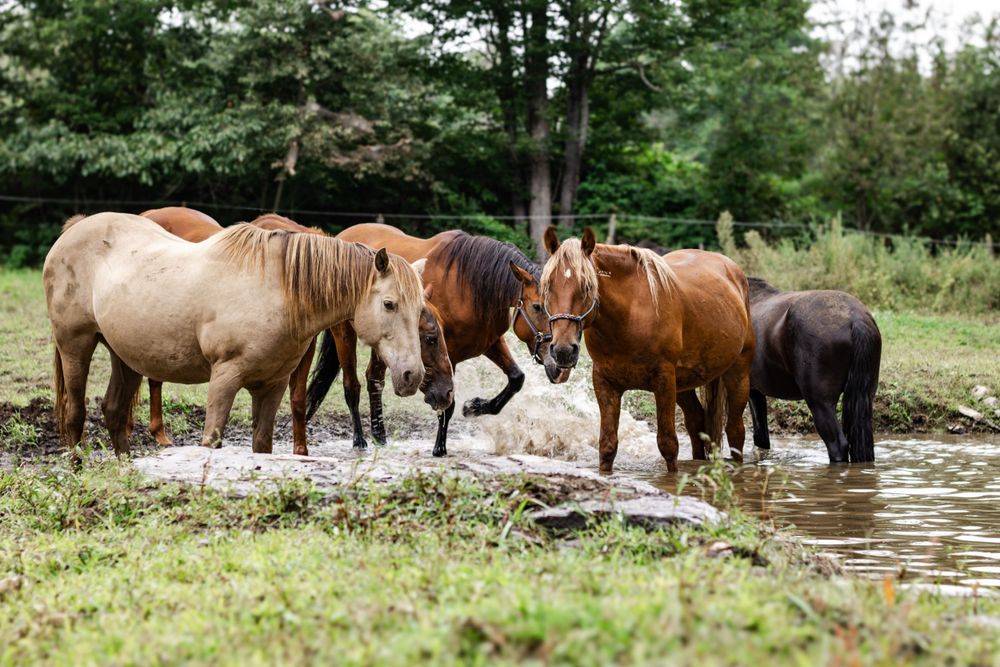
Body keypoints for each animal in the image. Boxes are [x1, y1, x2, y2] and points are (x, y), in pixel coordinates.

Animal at [44, 212, 425, 459]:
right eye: (389, 304)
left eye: (421, 308)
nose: (412, 375)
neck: (277, 289)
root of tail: (74, 230)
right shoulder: (224, 377)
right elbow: (211, 440)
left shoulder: (272, 386)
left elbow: (262, 445)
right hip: (75, 345)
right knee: (75, 412)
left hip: (126, 356)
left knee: (114, 411)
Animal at [134, 209, 453, 456]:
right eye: (430, 337)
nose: (415, 376)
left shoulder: (302, 349)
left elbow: (298, 400)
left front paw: (301, 451)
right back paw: (158, 434)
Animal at [305, 223, 555, 456]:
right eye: (537, 307)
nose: (557, 358)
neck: (467, 285)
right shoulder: (449, 353)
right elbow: (448, 400)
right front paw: (439, 448)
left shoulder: (490, 343)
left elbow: (516, 378)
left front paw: (474, 407)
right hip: (344, 334)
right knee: (352, 385)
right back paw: (359, 440)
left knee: (374, 379)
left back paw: (380, 436)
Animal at [540, 227, 755, 473]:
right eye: (547, 286)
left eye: (587, 286)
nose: (563, 350)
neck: (630, 315)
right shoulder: (605, 384)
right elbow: (607, 446)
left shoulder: (664, 381)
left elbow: (668, 445)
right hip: (684, 385)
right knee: (697, 423)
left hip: (737, 374)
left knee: (736, 432)